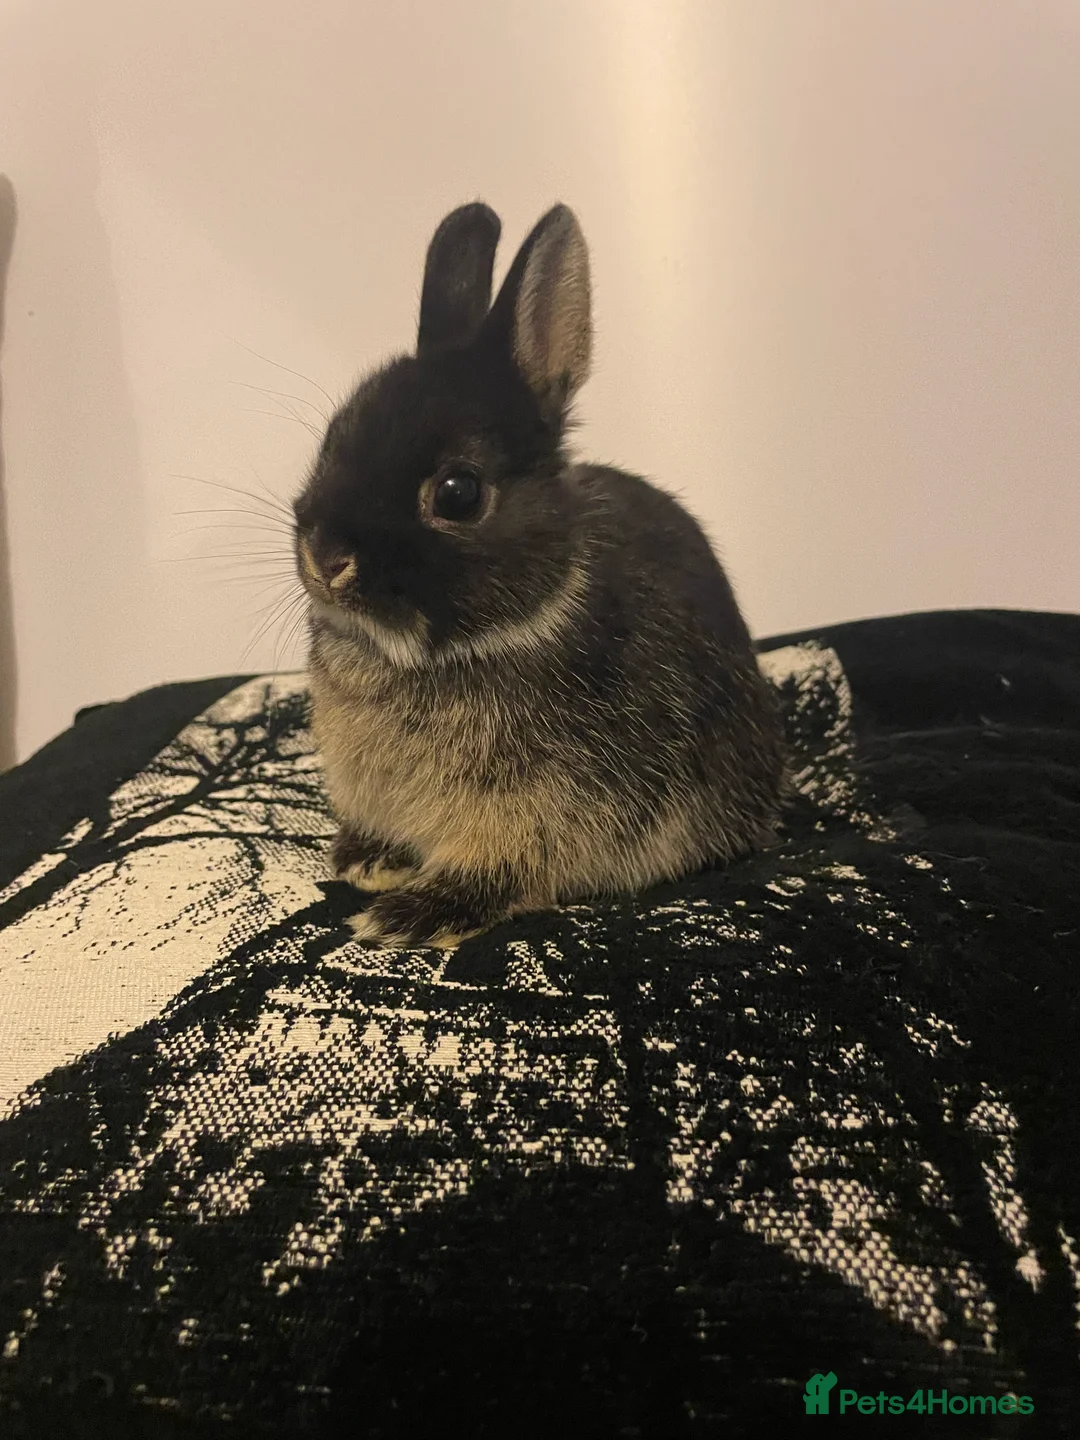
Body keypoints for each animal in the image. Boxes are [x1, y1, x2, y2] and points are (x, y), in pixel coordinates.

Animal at [293, 201, 785, 947]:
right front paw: (366, 861)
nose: (325, 559)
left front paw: (410, 916)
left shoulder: (540, 814)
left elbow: (501, 869)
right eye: (332, 440)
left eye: (458, 494)